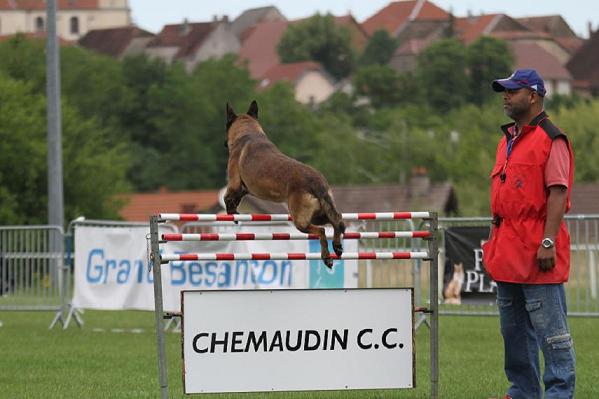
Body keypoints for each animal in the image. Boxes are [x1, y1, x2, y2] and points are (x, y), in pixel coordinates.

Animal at [225, 100, 346, 268]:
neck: (248, 132)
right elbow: (236, 197)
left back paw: (327, 256)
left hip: (301, 221)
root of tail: (317, 182)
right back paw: (337, 246)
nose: (224, 144)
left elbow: (227, 197)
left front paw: (232, 212)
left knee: (321, 231)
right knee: (337, 220)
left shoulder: (234, 183)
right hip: (319, 214)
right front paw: (235, 210)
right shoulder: (245, 189)